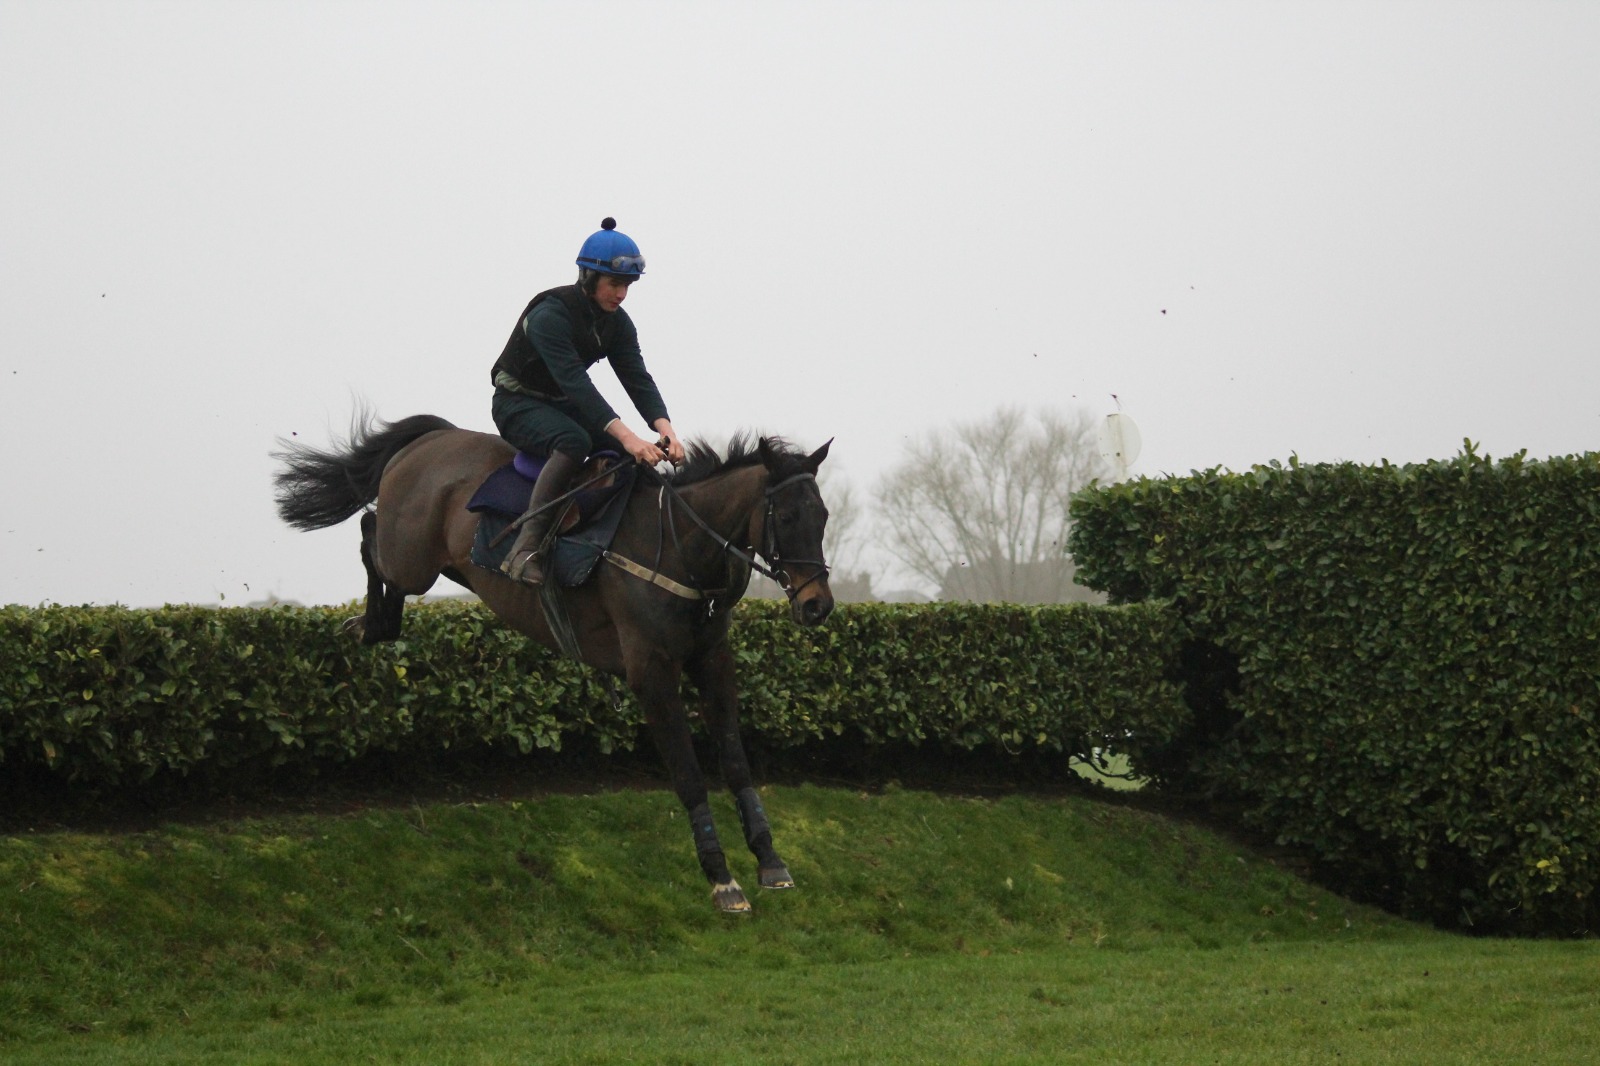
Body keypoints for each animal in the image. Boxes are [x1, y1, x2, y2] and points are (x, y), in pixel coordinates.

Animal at [272, 409, 838, 909]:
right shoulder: (651, 673)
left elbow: (737, 764)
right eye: (788, 516)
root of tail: (433, 437)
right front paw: (722, 878)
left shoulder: (713, 662)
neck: (680, 550)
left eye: (824, 516)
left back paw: (373, 622)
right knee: (371, 531)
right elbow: (689, 774)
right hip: (411, 558)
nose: (817, 605)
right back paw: (368, 620)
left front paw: (770, 861)